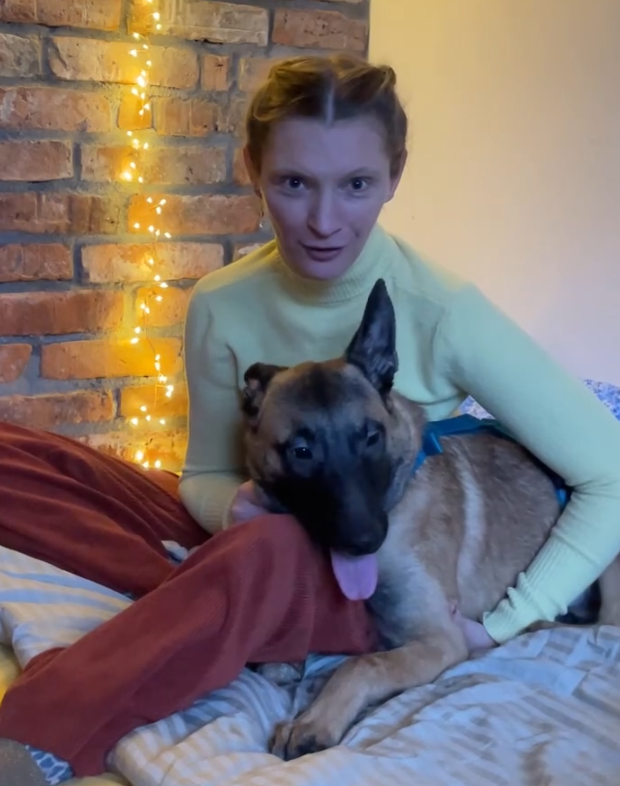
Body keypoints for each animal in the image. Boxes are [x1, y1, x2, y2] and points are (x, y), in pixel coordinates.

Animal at [240, 278, 620, 760]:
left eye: (371, 437)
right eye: (301, 451)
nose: (365, 540)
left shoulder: (438, 641)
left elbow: (361, 665)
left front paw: (315, 720)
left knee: (603, 625)